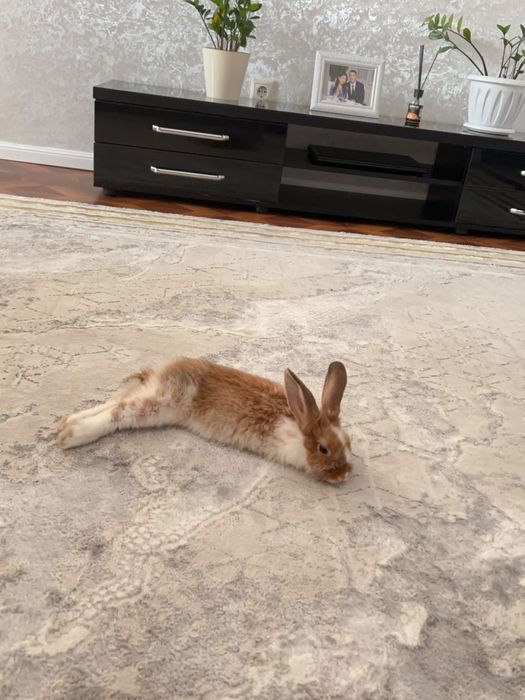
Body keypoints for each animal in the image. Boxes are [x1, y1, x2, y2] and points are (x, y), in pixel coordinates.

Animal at [56, 358, 353, 484]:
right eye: (323, 449)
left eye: (349, 444)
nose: (346, 474)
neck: (298, 423)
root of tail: (165, 371)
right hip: (161, 405)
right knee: (119, 411)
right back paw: (70, 435)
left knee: (117, 401)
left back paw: (67, 422)